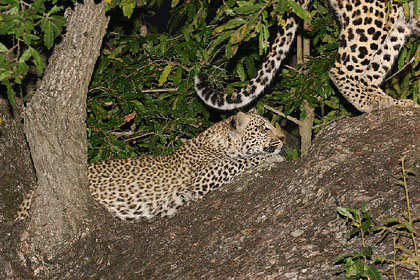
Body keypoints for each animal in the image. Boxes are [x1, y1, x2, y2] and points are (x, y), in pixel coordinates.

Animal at [16, 110, 286, 222]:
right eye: (264, 128)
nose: (284, 138)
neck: (220, 142)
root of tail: (32, 191)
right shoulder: (201, 178)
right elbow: (239, 161)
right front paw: (272, 157)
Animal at [194, 1, 420, 113]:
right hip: (376, 14)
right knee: (340, 69)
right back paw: (369, 103)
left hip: (399, 22)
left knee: (368, 74)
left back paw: (393, 102)